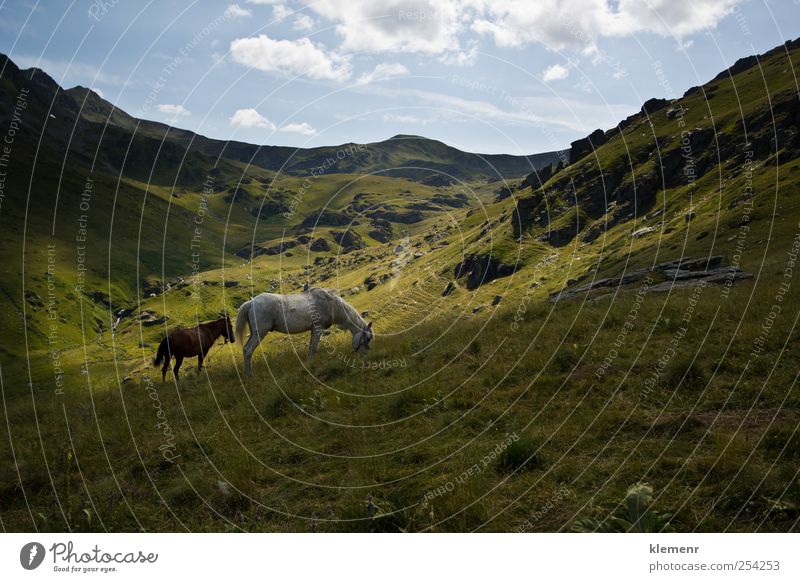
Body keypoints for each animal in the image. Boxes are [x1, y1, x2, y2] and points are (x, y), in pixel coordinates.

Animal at [236, 288, 374, 378]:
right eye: (367, 338)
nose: (366, 356)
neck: (330, 304)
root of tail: (251, 302)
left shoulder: (314, 330)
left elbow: (310, 348)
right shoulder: (318, 328)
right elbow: (313, 349)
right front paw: (311, 365)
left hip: (254, 333)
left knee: (245, 349)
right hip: (260, 332)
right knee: (248, 350)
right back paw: (249, 375)